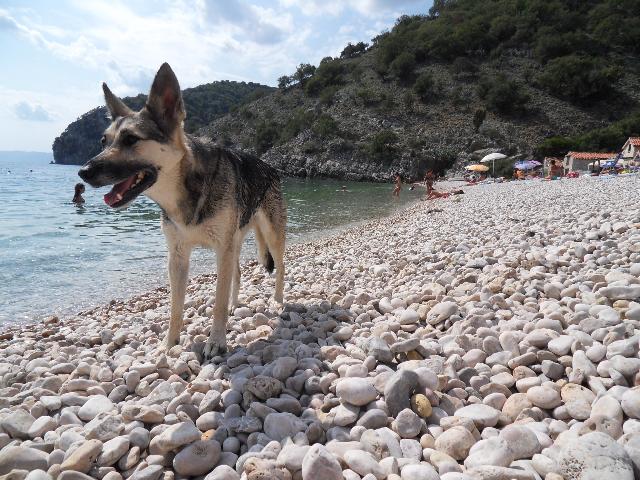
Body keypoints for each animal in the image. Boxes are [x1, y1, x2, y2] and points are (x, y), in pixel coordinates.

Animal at [80, 62, 288, 360]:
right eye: (103, 141)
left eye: (130, 139)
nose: (83, 172)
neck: (186, 189)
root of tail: (269, 166)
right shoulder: (177, 256)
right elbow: (175, 308)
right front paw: (169, 344)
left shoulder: (221, 251)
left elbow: (217, 301)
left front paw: (217, 342)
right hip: (235, 241)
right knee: (238, 273)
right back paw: (236, 305)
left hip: (271, 235)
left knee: (280, 268)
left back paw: (278, 301)